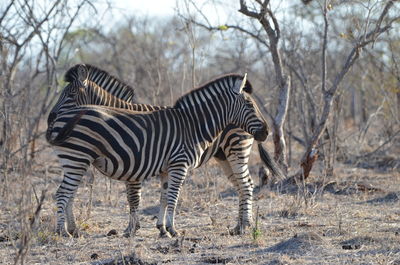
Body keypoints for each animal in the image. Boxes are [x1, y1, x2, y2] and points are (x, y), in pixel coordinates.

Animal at [48, 64, 282, 235]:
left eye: (69, 95)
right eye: (250, 106)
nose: (266, 131)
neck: (192, 124)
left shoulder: (157, 165)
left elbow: (162, 196)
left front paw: (155, 228)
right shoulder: (165, 164)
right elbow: (162, 196)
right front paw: (160, 229)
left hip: (234, 152)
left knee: (245, 185)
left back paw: (243, 226)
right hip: (77, 159)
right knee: (64, 193)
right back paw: (64, 232)